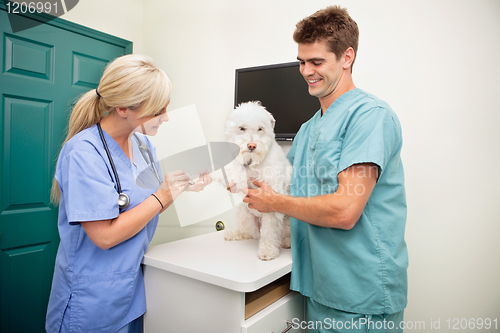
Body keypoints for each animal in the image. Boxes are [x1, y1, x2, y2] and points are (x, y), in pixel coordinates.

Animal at [223, 100, 292, 260]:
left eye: (260, 128)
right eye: (242, 128)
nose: (252, 145)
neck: (254, 162)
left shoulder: (271, 205)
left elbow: (269, 233)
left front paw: (267, 251)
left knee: (281, 234)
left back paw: (286, 242)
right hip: (244, 211)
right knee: (248, 233)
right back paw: (233, 233)